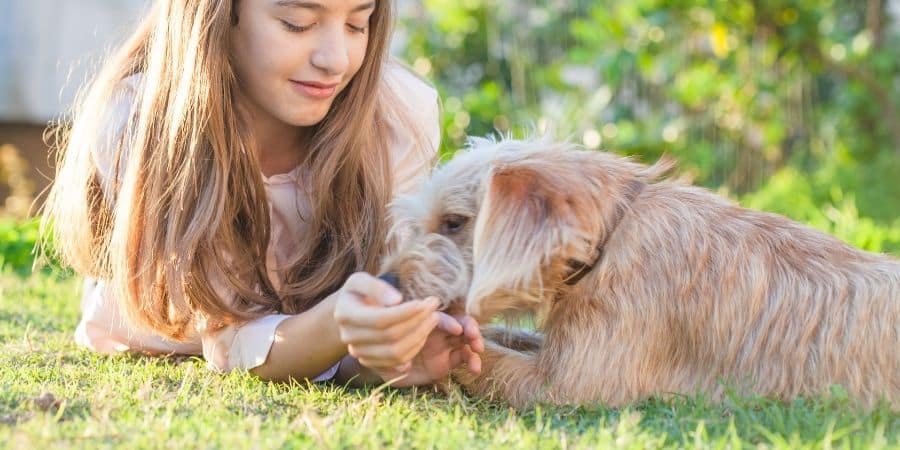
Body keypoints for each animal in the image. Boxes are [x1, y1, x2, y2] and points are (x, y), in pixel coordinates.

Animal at [380, 135, 900, 410]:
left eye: (454, 222)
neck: (609, 236)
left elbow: (493, 359)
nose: (386, 283)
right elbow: (513, 337)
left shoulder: (570, 386)